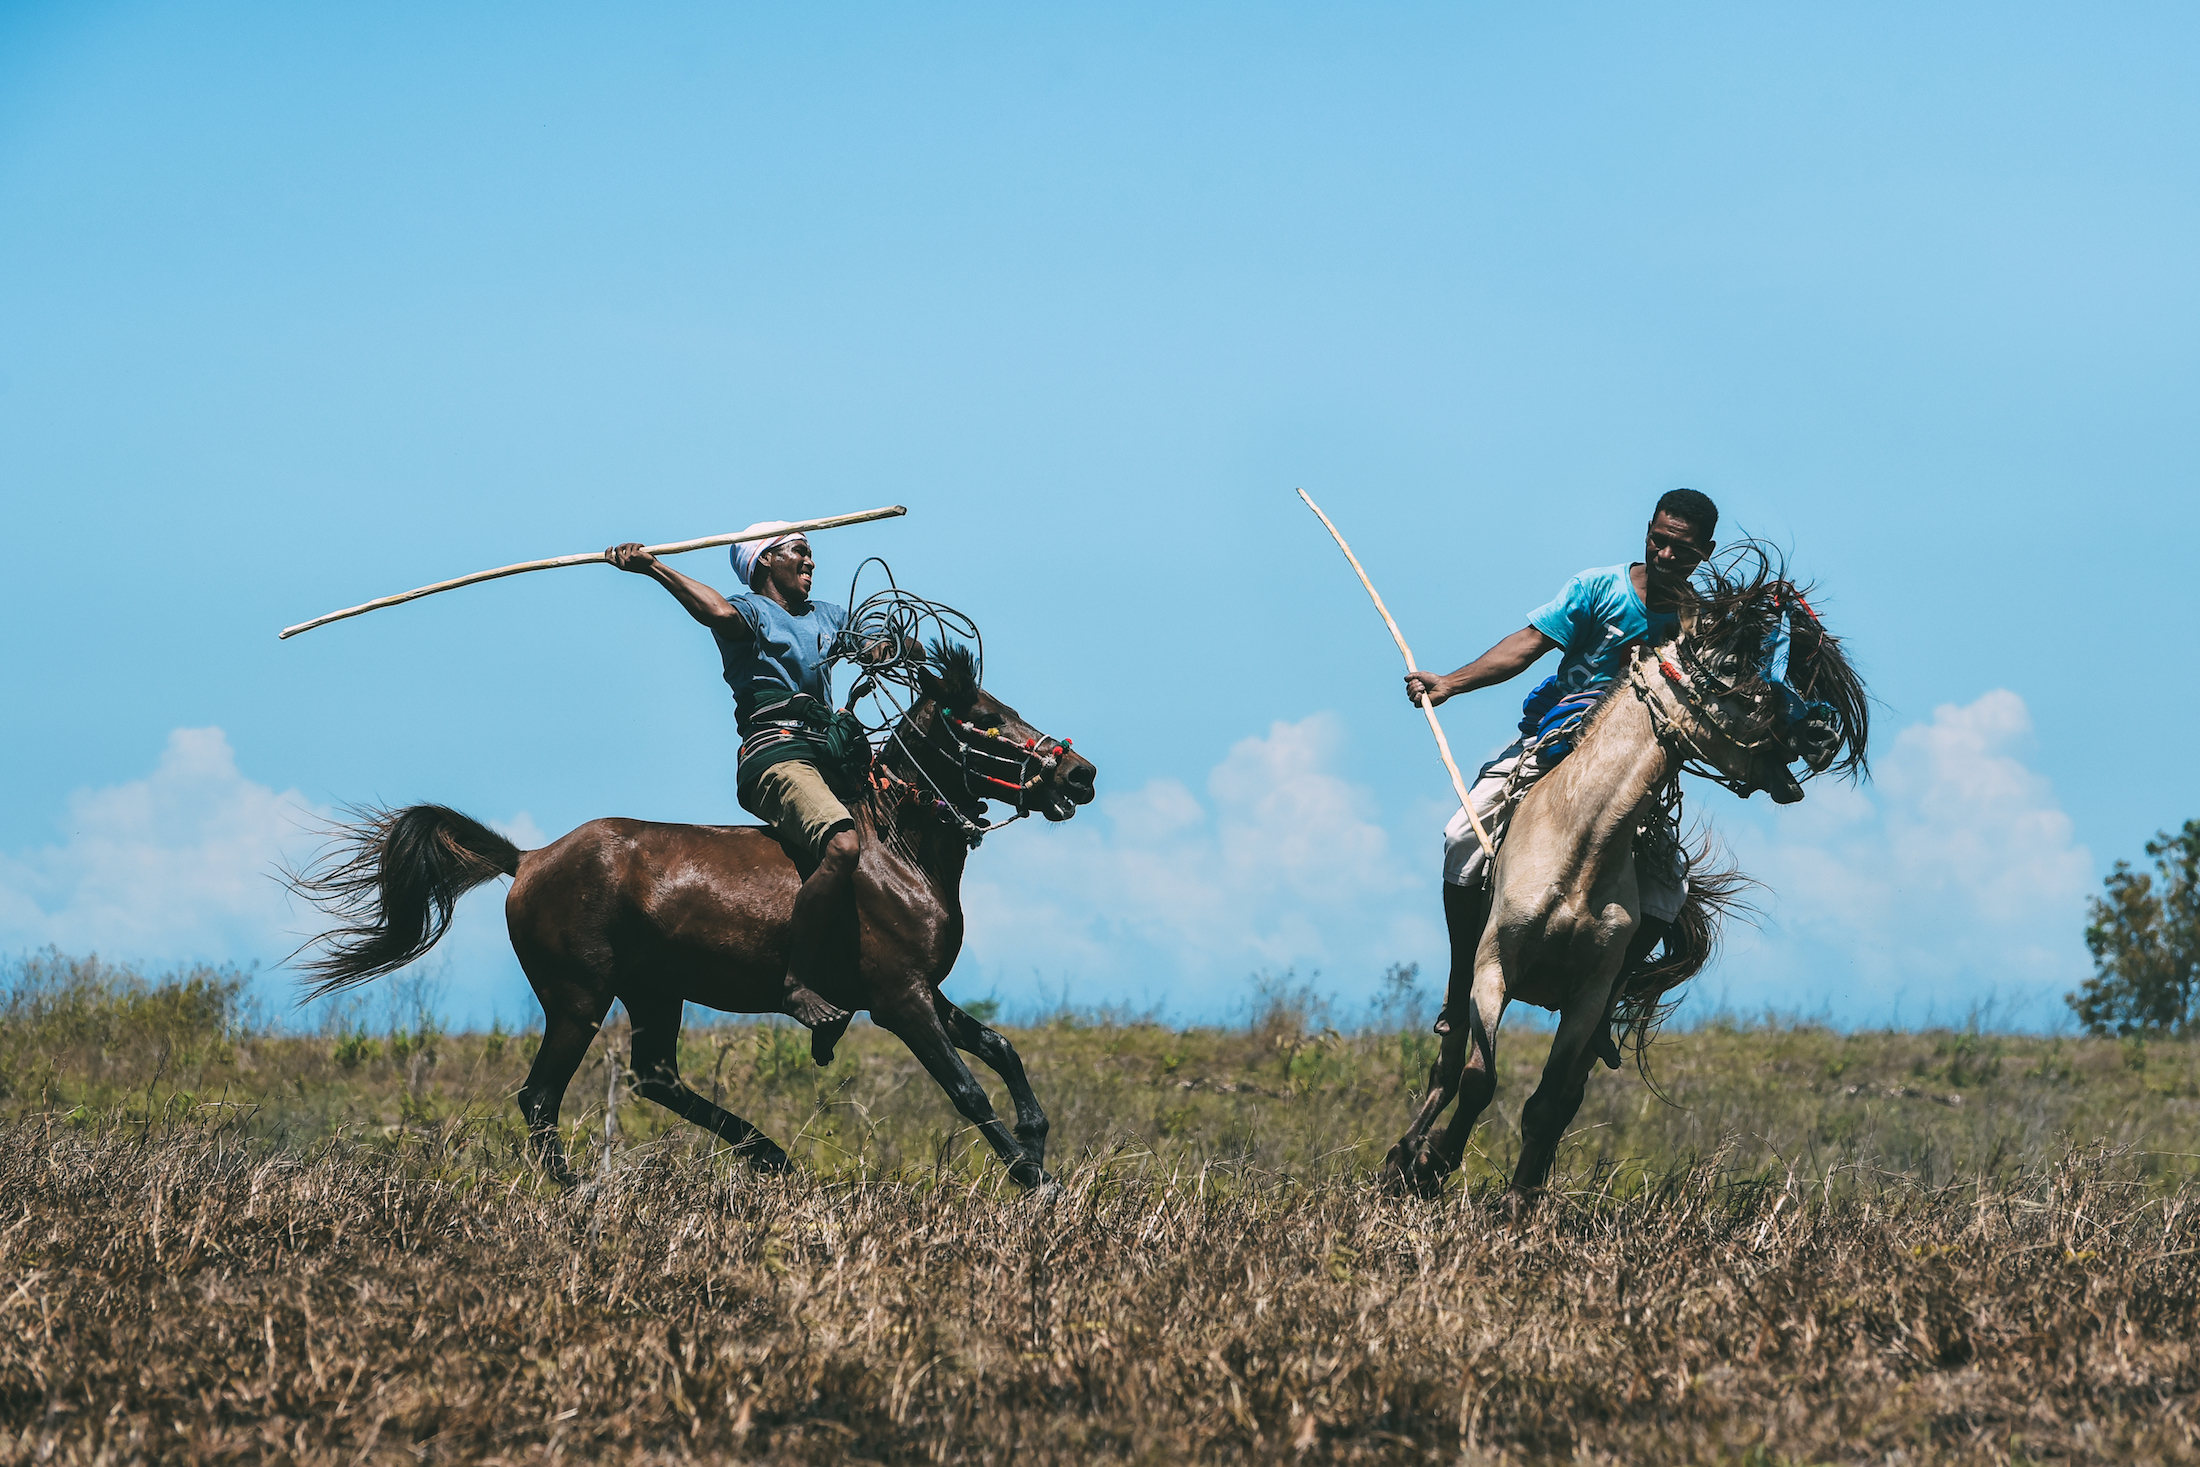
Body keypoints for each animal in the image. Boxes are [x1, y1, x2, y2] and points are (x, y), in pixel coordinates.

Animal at [288, 651, 1095, 1196]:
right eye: (983, 718)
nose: (1079, 774)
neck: (898, 851)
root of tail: (529, 858)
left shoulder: (923, 990)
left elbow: (1001, 1048)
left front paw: (1036, 1140)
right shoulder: (900, 999)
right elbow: (967, 1088)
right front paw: (1035, 1178)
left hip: (656, 993)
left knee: (655, 1076)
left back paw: (765, 1152)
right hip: (579, 1000)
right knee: (541, 1097)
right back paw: (583, 1187)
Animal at [1381, 556, 1865, 1196]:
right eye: (1732, 666)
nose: (1823, 731)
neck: (1577, 853)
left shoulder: (1590, 998)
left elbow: (1546, 1105)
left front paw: (1517, 1201)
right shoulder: (1494, 969)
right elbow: (1480, 1078)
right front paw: (1429, 1164)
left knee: (1564, 1096)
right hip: (1468, 977)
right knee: (1450, 1057)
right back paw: (1400, 1159)